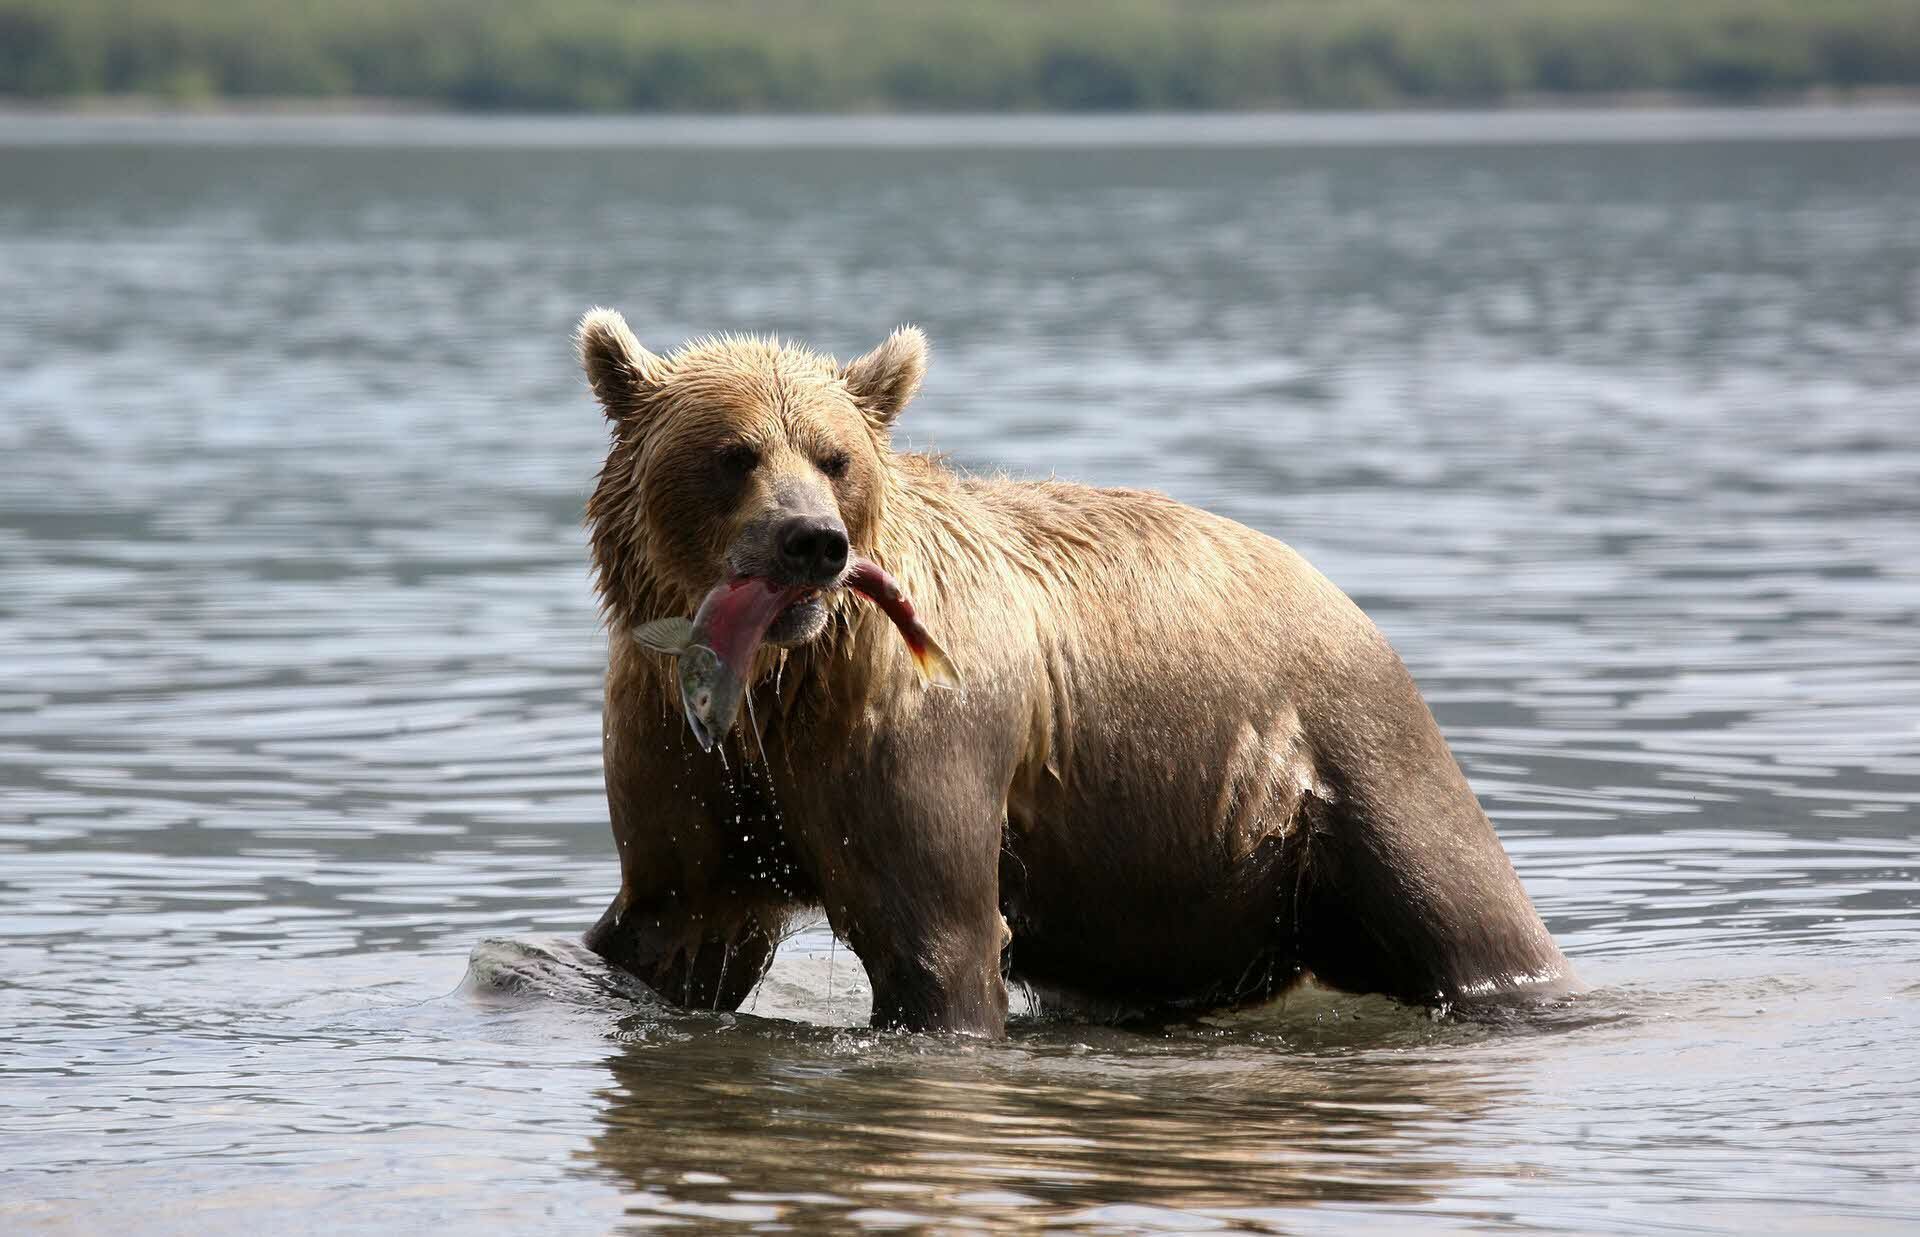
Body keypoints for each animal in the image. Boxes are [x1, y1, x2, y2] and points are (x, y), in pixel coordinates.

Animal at [576, 307, 1566, 1037]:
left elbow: (935, 938)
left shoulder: (910, 735)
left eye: (835, 456)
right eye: (733, 453)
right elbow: (676, 921)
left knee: (1465, 912)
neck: (782, 685)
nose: (812, 540)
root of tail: (1340, 590)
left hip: (1354, 752)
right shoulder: (685, 747)